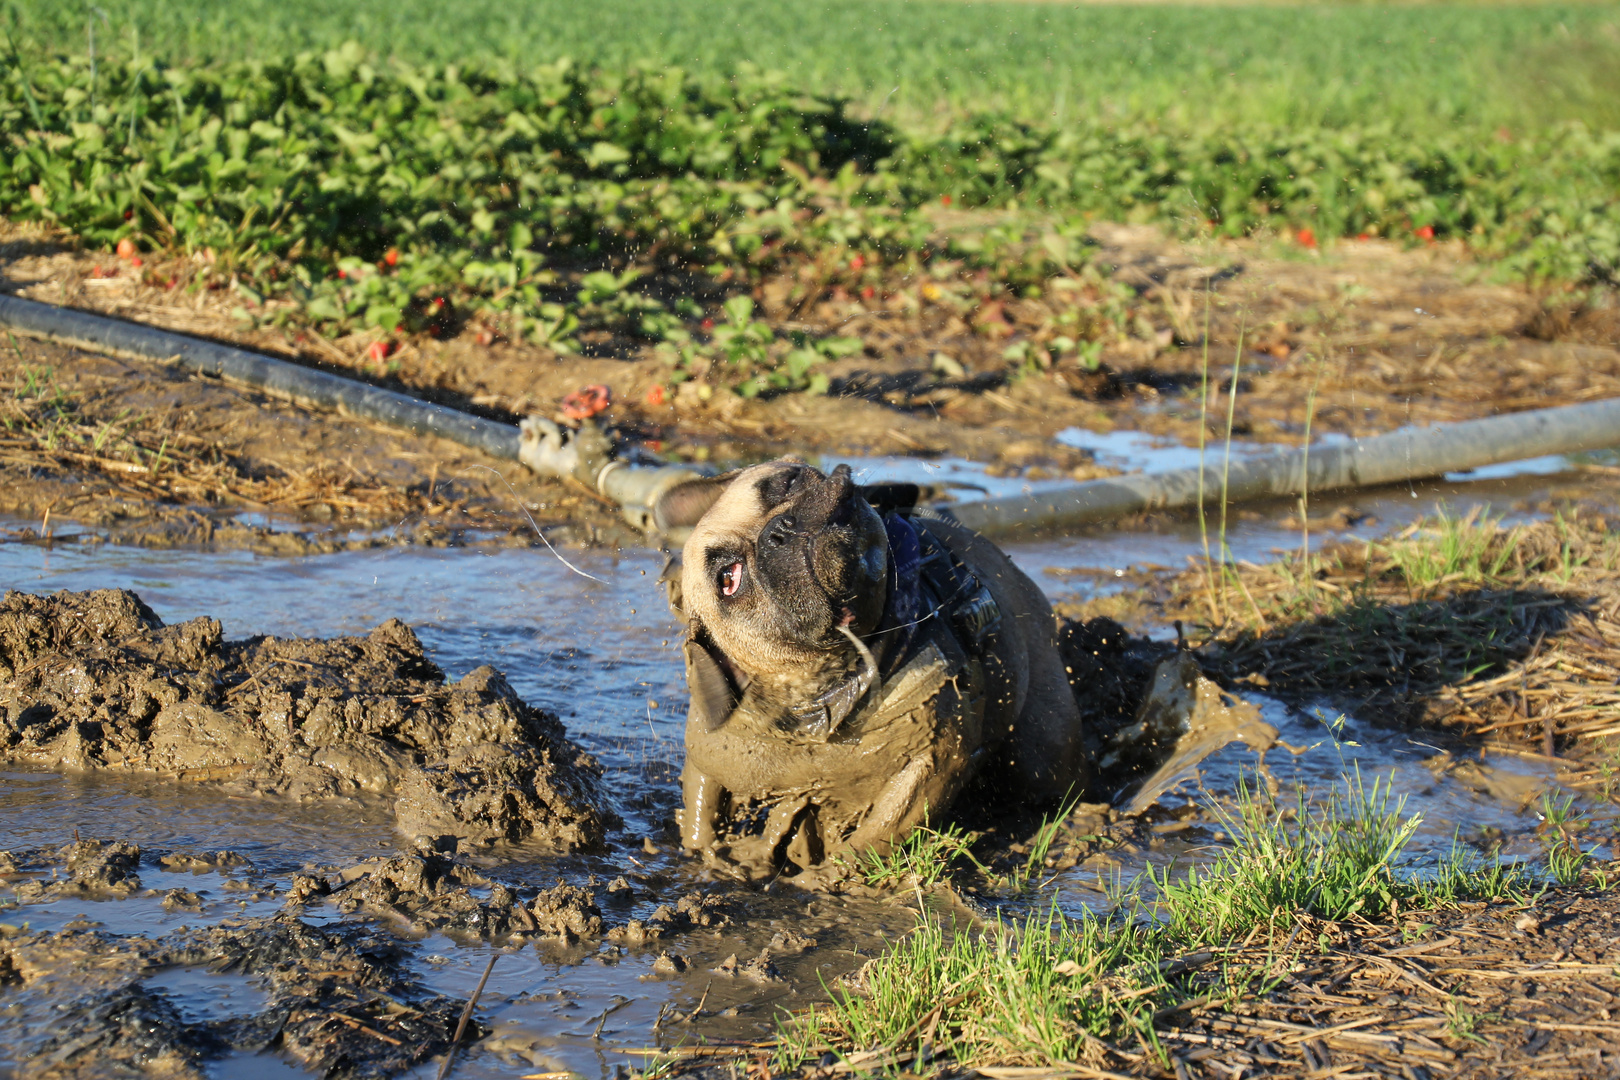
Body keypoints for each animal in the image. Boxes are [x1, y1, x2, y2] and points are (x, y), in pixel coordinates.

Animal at [657, 459, 1088, 880]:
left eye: (787, 482)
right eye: (729, 579)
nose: (780, 530)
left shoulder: (935, 759)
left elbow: (882, 829)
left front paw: (830, 875)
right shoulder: (712, 753)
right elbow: (702, 809)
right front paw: (708, 857)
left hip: (1041, 754)